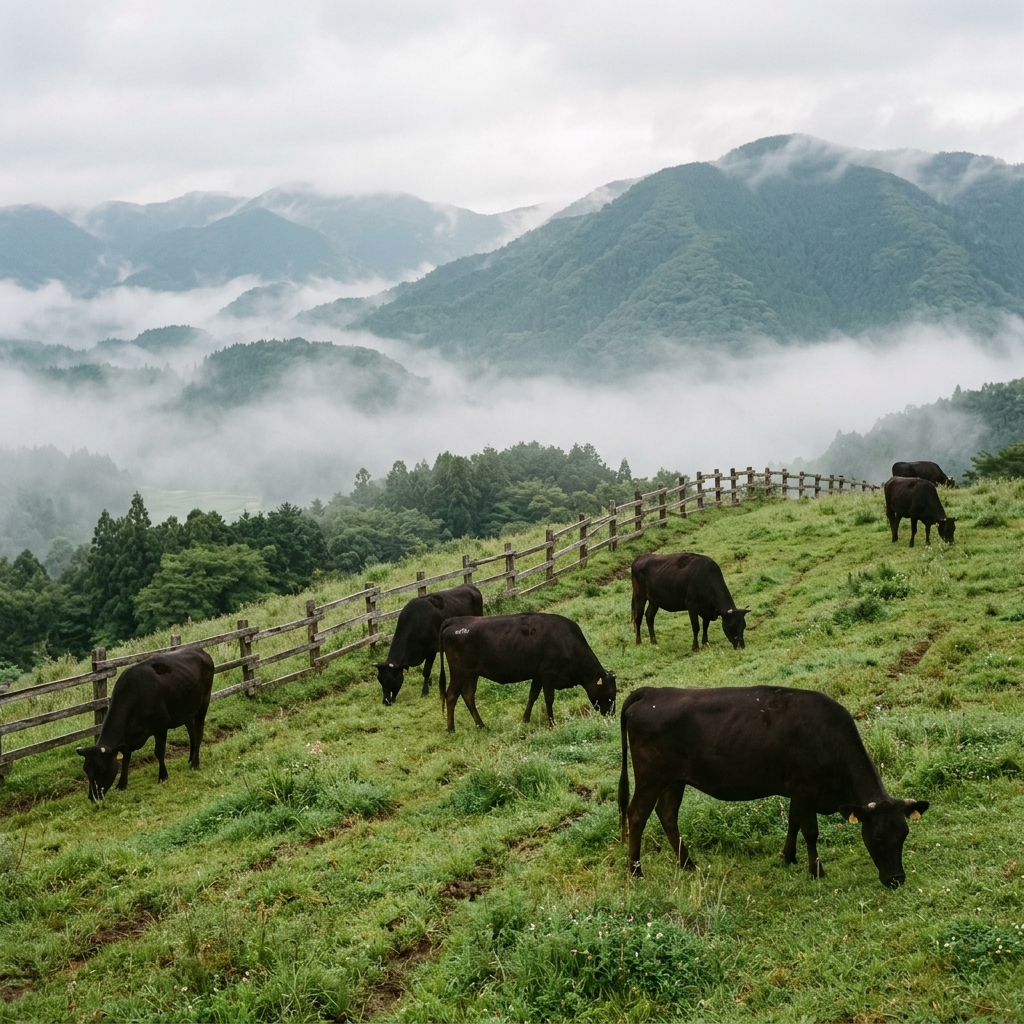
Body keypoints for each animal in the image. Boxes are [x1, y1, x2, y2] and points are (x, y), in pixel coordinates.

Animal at [76, 647, 214, 801]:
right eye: (86, 770)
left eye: (101, 770)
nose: (92, 797)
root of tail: (199, 650)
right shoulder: (127, 739)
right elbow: (126, 759)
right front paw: (122, 784)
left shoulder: (161, 726)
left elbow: (159, 752)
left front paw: (163, 776)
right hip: (186, 710)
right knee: (192, 732)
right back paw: (190, 759)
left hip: (204, 702)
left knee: (199, 731)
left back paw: (195, 763)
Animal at [438, 613, 616, 733]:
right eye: (610, 694)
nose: (612, 715)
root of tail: (454, 620)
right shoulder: (548, 675)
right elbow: (549, 699)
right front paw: (551, 723)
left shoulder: (538, 675)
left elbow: (532, 696)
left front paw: (525, 719)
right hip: (459, 673)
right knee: (451, 696)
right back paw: (451, 729)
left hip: (471, 674)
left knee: (468, 695)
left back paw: (481, 725)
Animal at [618, 685, 929, 888]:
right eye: (876, 837)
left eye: (904, 834)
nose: (896, 880)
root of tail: (653, 691)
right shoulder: (804, 789)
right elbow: (810, 832)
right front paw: (817, 871)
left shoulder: (796, 791)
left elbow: (793, 822)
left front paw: (788, 857)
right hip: (651, 777)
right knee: (637, 814)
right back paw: (636, 871)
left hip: (674, 779)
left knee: (667, 814)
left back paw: (687, 864)